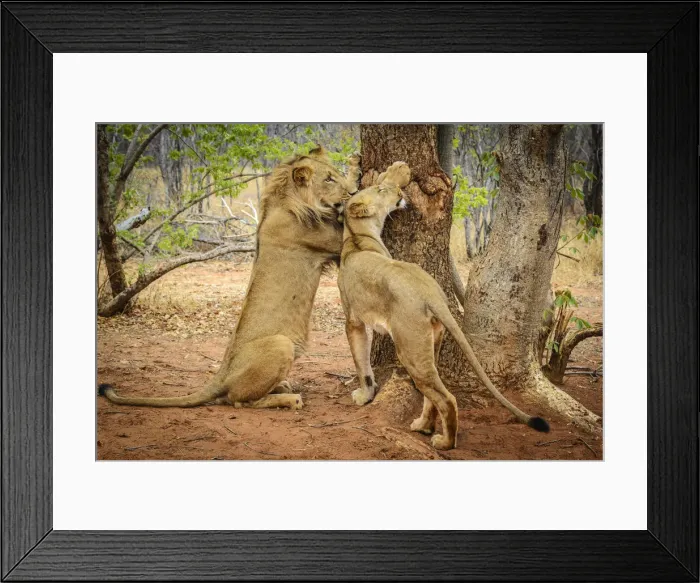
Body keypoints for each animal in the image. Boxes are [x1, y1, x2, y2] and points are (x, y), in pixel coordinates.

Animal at [99, 146, 361, 409]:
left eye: (334, 174)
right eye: (328, 179)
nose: (351, 193)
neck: (285, 201)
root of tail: (222, 374)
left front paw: (355, 167)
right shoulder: (334, 241)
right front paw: (359, 175)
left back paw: (283, 387)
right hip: (281, 345)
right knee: (241, 401)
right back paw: (290, 398)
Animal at [337, 161, 549, 450]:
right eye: (379, 190)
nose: (399, 195)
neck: (355, 238)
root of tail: (433, 295)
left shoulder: (353, 320)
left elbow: (361, 362)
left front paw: (363, 395)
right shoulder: (356, 318)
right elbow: (362, 360)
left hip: (409, 348)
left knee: (447, 398)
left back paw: (445, 442)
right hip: (430, 341)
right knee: (433, 393)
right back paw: (423, 426)